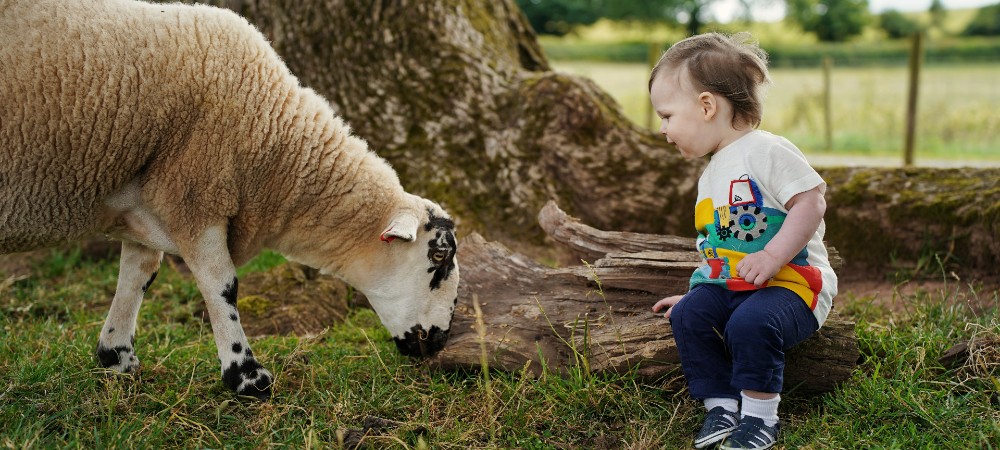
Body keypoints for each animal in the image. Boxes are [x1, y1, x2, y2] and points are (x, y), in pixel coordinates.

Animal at [0, 0, 460, 400]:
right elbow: (222, 284)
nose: (439, 341)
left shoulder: (146, 199)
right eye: (437, 258)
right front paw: (246, 376)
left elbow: (138, 275)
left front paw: (117, 357)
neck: (274, 146)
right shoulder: (196, 191)